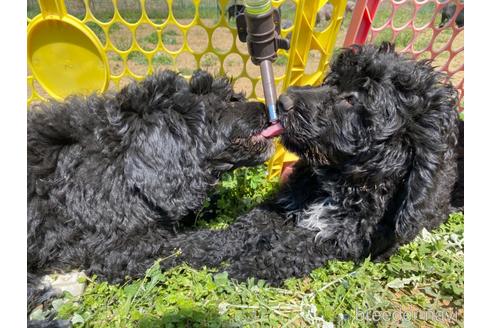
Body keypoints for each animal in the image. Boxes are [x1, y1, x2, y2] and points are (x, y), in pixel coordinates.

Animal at [26, 70, 274, 318]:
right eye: (219, 106)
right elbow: (194, 242)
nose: (265, 108)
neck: (120, 161)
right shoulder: (119, 252)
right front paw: (251, 232)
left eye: (231, 96)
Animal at [157, 42, 462, 284]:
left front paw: (240, 269)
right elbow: (245, 225)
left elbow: (290, 249)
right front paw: (190, 246)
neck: (339, 182)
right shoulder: (285, 202)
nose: (282, 101)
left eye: (352, 100)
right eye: (331, 81)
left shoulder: (341, 240)